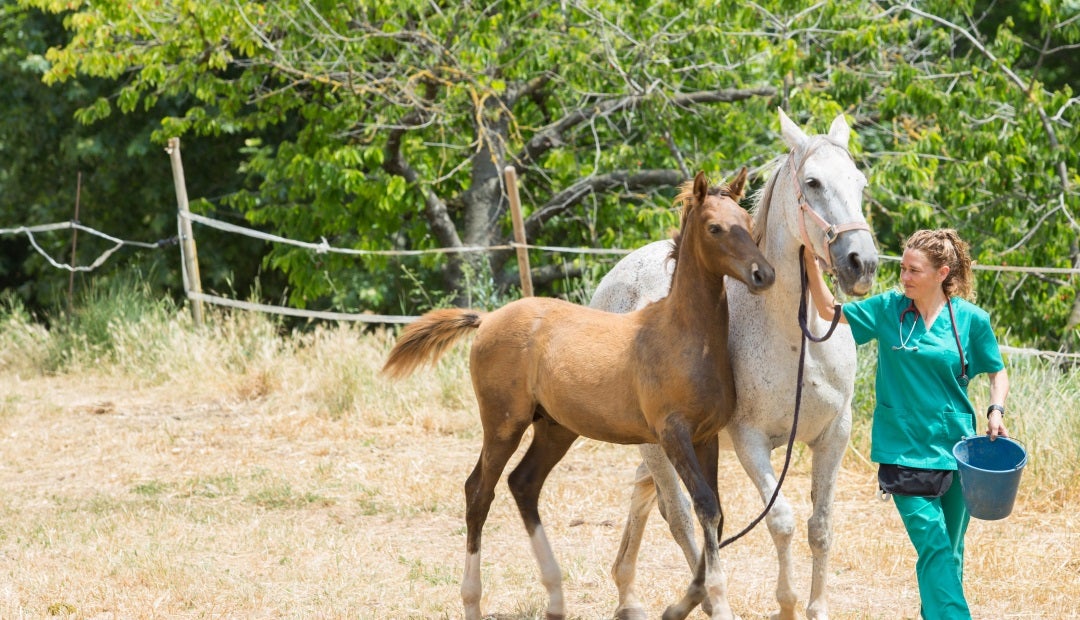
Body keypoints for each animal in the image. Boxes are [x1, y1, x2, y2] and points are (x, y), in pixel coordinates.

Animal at [383, 169, 775, 620]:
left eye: (748, 224)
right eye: (715, 228)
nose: (764, 274)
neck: (685, 337)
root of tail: (487, 319)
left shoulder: (706, 437)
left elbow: (714, 512)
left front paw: (683, 603)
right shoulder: (672, 433)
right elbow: (704, 507)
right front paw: (706, 600)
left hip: (555, 428)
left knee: (523, 484)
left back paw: (555, 597)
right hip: (503, 424)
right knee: (479, 491)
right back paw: (472, 600)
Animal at [590, 108, 879, 620]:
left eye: (859, 183)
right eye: (813, 182)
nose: (860, 262)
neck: (796, 338)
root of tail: (614, 278)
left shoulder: (834, 434)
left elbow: (820, 527)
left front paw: (816, 608)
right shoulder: (750, 441)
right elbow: (780, 521)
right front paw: (786, 605)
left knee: (646, 496)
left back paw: (630, 596)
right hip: (657, 443)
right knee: (679, 516)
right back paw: (701, 600)